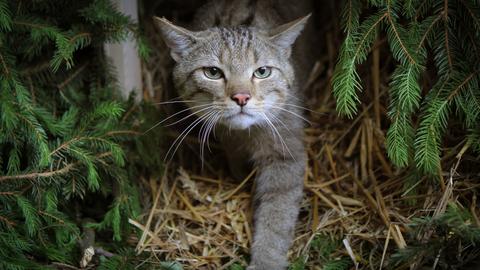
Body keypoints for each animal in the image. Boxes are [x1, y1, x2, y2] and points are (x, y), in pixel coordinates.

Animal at [154, 1, 312, 268]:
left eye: (262, 72)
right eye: (212, 72)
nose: (241, 97)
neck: (245, 134)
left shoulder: (286, 153)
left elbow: (276, 215)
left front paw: (266, 260)